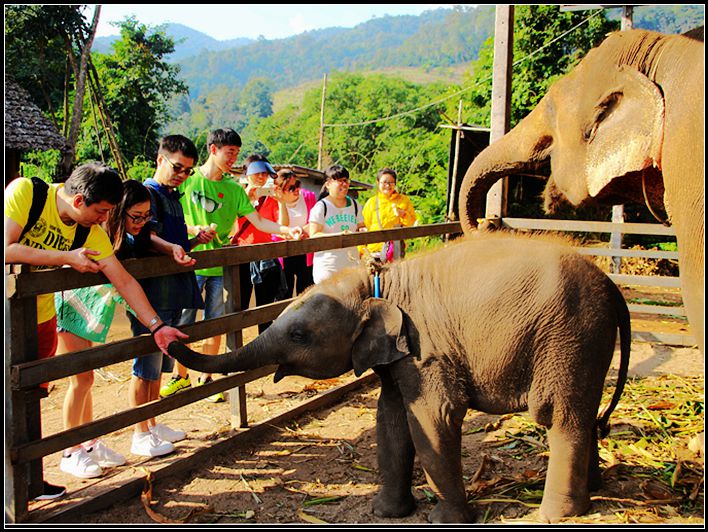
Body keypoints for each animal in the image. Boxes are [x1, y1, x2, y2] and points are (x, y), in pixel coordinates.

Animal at [167, 234, 632, 524]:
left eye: (298, 335)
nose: (170, 335)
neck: (381, 280)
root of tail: (612, 287)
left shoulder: (428, 352)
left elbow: (433, 418)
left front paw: (445, 520)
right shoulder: (399, 356)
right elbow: (389, 419)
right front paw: (386, 514)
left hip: (568, 337)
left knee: (559, 417)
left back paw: (557, 515)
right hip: (583, 343)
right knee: (584, 414)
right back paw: (592, 491)